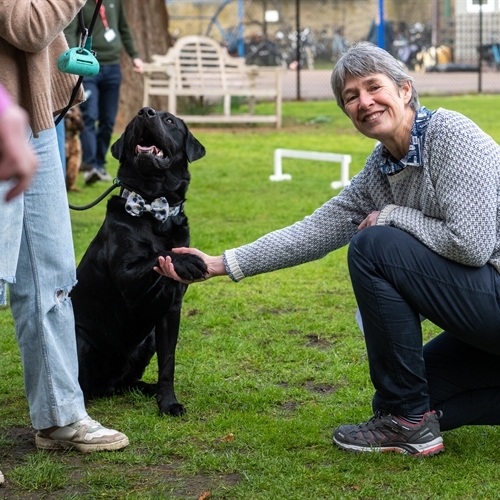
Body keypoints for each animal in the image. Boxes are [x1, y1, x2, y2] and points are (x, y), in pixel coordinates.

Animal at [72, 107, 207, 416]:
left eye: (170, 120)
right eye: (135, 119)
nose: (146, 112)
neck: (153, 206)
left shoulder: (170, 310)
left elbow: (168, 363)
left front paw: (167, 402)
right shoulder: (127, 277)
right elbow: (158, 255)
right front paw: (188, 260)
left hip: (147, 341)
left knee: (124, 382)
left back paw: (147, 388)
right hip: (80, 341)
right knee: (82, 383)